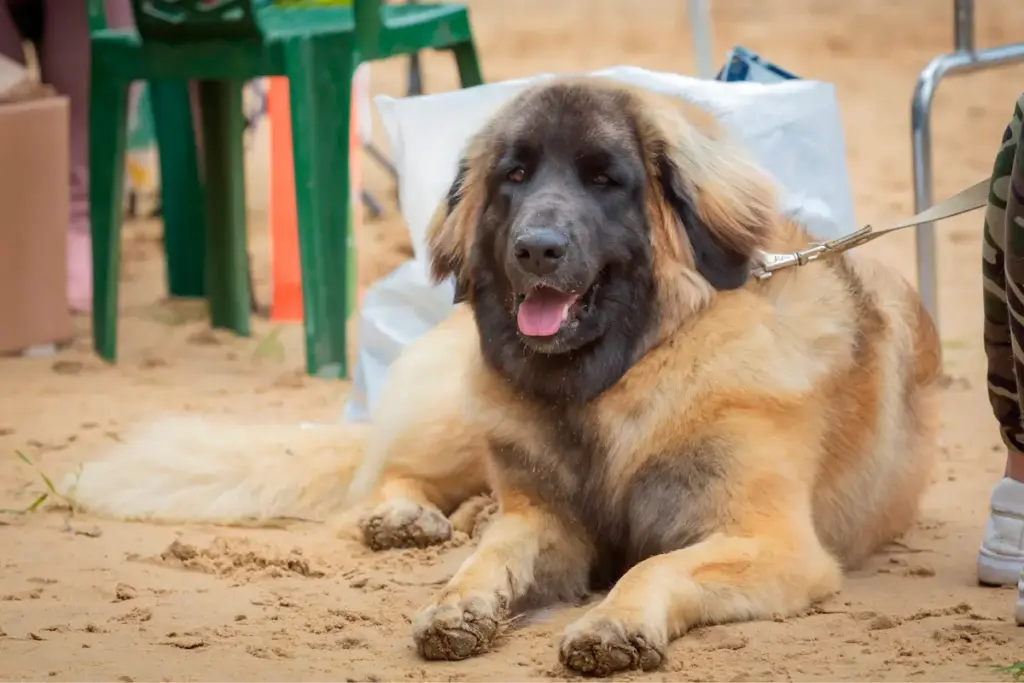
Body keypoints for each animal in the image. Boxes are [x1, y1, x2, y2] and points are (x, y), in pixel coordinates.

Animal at [64, 77, 937, 675]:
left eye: (604, 179)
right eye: (514, 176)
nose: (536, 249)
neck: (615, 382)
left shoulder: (770, 541)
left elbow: (654, 563)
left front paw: (613, 622)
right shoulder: (547, 518)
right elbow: (491, 558)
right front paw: (458, 602)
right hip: (465, 405)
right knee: (396, 473)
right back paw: (410, 516)